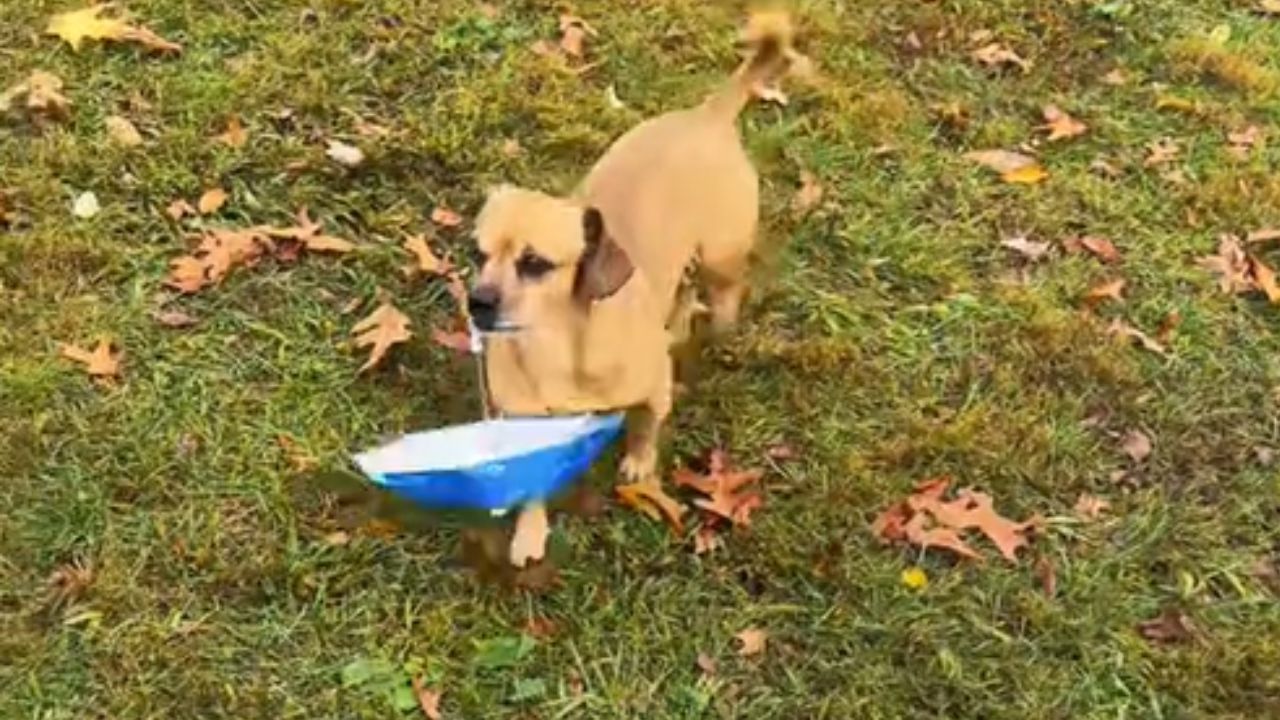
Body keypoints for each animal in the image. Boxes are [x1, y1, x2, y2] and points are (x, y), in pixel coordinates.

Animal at [465, 9, 793, 561]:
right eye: (477, 254)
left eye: (535, 263)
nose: (478, 302)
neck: (558, 350)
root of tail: (707, 116)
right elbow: (532, 489)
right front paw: (530, 533)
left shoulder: (652, 391)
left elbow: (645, 426)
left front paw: (640, 462)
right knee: (682, 292)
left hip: (719, 256)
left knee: (723, 292)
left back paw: (720, 327)